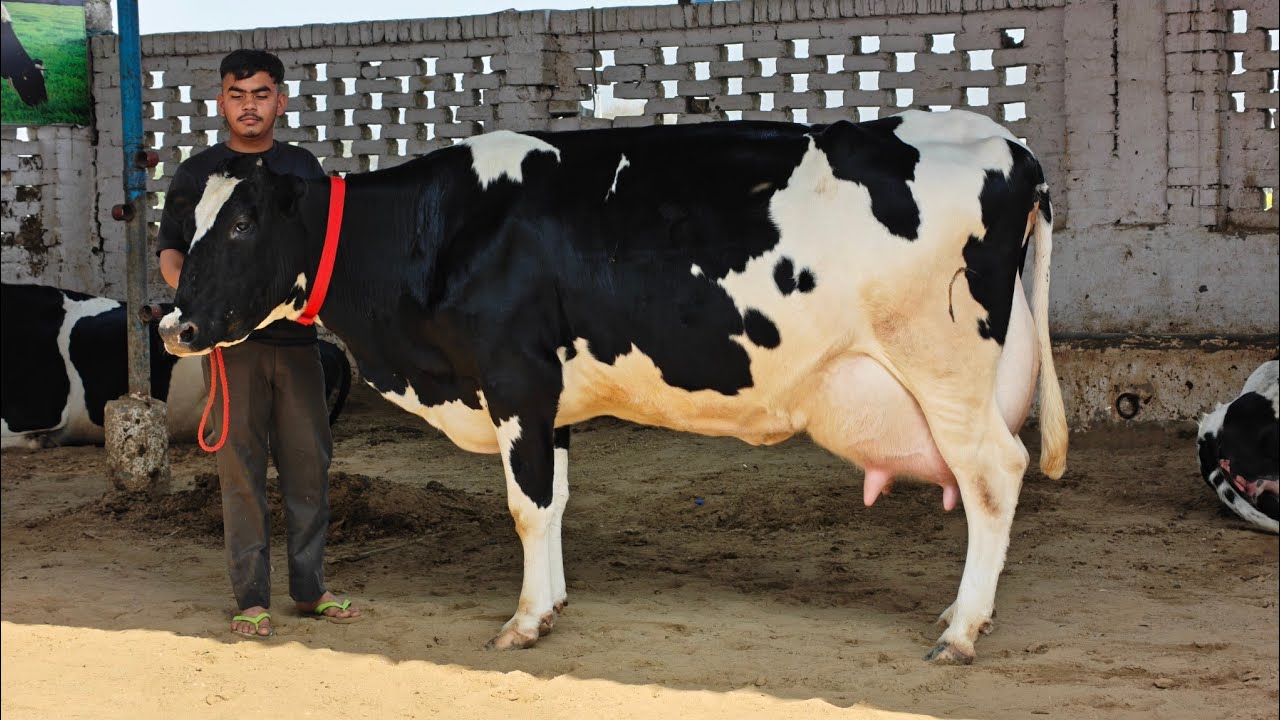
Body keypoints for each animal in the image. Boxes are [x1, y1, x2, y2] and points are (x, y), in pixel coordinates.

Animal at [157, 109, 1068, 664]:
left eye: (241, 223)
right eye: (186, 222)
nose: (174, 327)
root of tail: (1003, 144)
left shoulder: (515, 377)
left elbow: (526, 505)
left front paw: (524, 620)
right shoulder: (548, 396)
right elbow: (555, 500)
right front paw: (554, 603)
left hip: (945, 368)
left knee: (995, 477)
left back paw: (962, 630)